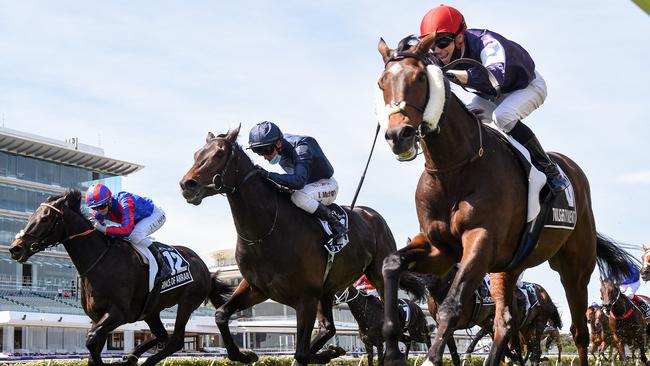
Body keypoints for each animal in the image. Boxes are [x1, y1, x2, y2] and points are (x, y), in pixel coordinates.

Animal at [7, 190, 230, 364]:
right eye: (31, 217)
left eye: (45, 218)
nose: (16, 249)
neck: (100, 261)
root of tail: (204, 268)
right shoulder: (97, 316)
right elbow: (93, 346)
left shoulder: (118, 313)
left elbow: (91, 340)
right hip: (151, 311)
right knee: (162, 335)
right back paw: (131, 357)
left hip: (187, 302)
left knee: (174, 340)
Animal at [178, 126, 426, 366]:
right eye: (196, 154)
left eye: (219, 153)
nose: (187, 184)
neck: (265, 232)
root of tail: (372, 214)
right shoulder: (257, 288)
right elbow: (221, 315)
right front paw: (245, 355)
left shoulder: (305, 298)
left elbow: (301, 352)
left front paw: (327, 354)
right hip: (328, 289)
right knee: (328, 328)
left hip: (376, 277)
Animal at [374, 32, 632, 366]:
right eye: (382, 82)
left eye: (419, 77)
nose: (399, 136)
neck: (454, 167)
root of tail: (573, 170)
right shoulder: (440, 248)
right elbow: (391, 264)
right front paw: (393, 351)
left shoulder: (480, 240)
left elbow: (452, 306)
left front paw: (431, 358)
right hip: (509, 266)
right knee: (505, 321)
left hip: (575, 266)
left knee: (579, 331)